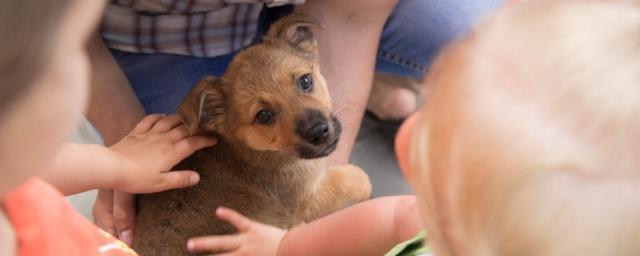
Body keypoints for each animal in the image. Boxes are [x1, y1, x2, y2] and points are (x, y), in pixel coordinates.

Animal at [133, 13, 372, 255]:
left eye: (305, 81)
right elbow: (356, 179)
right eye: (264, 116)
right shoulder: (307, 200)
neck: (254, 151)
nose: (319, 132)